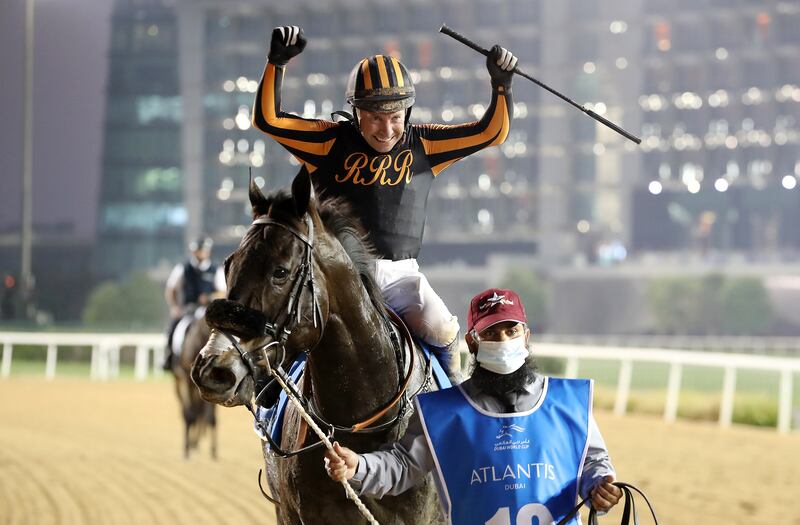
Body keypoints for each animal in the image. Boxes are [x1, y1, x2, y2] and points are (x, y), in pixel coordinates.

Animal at [170, 316, 216, 458]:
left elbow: (210, 418)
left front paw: (213, 451)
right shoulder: (187, 380)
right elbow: (190, 414)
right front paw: (186, 449)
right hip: (178, 383)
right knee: (187, 410)